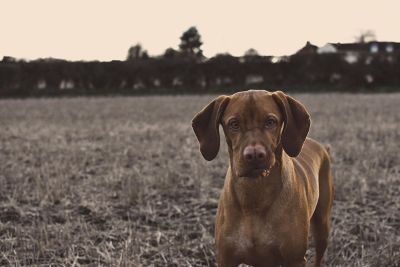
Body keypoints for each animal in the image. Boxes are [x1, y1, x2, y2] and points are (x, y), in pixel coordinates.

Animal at [192, 91, 332, 266]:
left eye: (270, 122)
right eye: (234, 124)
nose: (254, 155)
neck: (255, 195)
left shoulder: (295, 259)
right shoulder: (226, 258)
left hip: (322, 226)